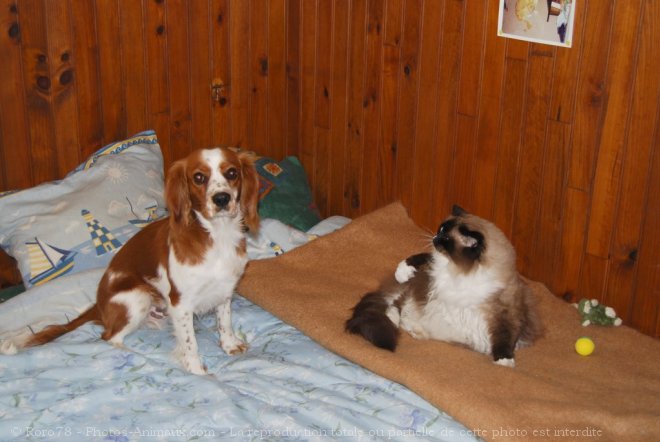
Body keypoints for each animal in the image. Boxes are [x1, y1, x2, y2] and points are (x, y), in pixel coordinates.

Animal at [2, 148, 260, 372]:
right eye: (198, 177)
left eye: (232, 173)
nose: (221, 199)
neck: (217, 236)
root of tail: (98, 305)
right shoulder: (180, 303)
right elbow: (190, 343)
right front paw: (197, 371)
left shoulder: (224, 290)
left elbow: (224, 321)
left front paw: (229, 345)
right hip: (137, 296)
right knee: (109, 338)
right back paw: (138, 356)